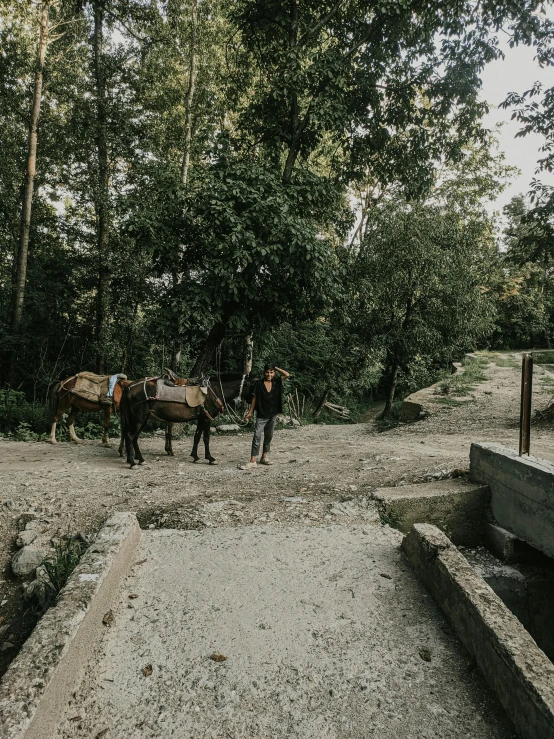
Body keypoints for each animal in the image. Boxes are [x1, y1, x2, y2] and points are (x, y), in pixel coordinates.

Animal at [119, 372, 251, 472]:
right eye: (254, 386)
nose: (249, 408)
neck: (214, 391)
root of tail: (129, 387)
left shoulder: (201, 418)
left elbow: (197, 436)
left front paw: (195, 456)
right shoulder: (207, 419)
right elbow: (206, 438)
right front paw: (210, 458)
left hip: (142, 419)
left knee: (134, 437)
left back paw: (140, 460)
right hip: (139, 419)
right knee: (130, 436)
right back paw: (132, 463)